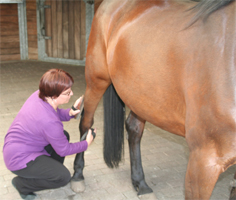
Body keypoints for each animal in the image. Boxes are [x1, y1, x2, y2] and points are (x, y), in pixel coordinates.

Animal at [71, 0, 236, 198]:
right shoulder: (204, 161)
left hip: (140, 96)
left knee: (134, 129)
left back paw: (140, 183)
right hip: (97, 79)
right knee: (86, 122)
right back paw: (77, 175)